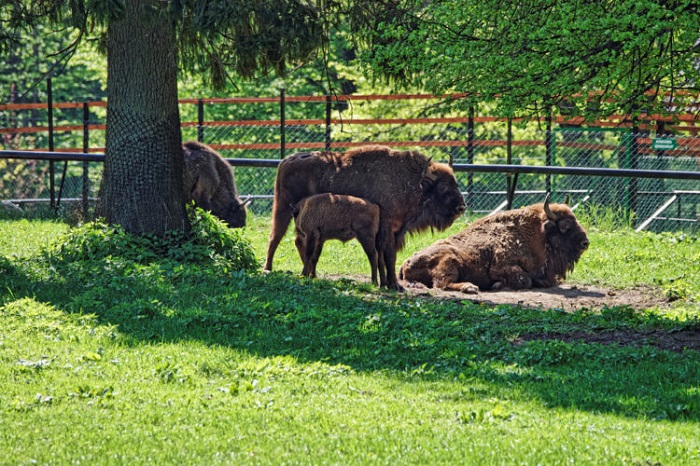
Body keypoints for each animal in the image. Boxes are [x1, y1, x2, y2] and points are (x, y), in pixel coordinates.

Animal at [262, 144, 464, 290]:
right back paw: (268, 269)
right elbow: (389, 255)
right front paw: (395, 286)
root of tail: (286, 160)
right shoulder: (387, 228)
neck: (412, 182)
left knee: (298, 241)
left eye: (455, 183)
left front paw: (385, 283)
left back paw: (311, 273)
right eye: (443, 187)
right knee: (275, 237)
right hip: (282, 209)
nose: (462, 207)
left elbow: (382, 256)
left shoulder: (392, 230)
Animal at [396, 195, 588, 294]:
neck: (536, 234)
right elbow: (524, 280)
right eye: (565, 226)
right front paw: (497, 285)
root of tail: (404, 264)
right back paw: (470, 287)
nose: (585, 243)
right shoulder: (503, 267)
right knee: (441, 284)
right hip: (448, 260)